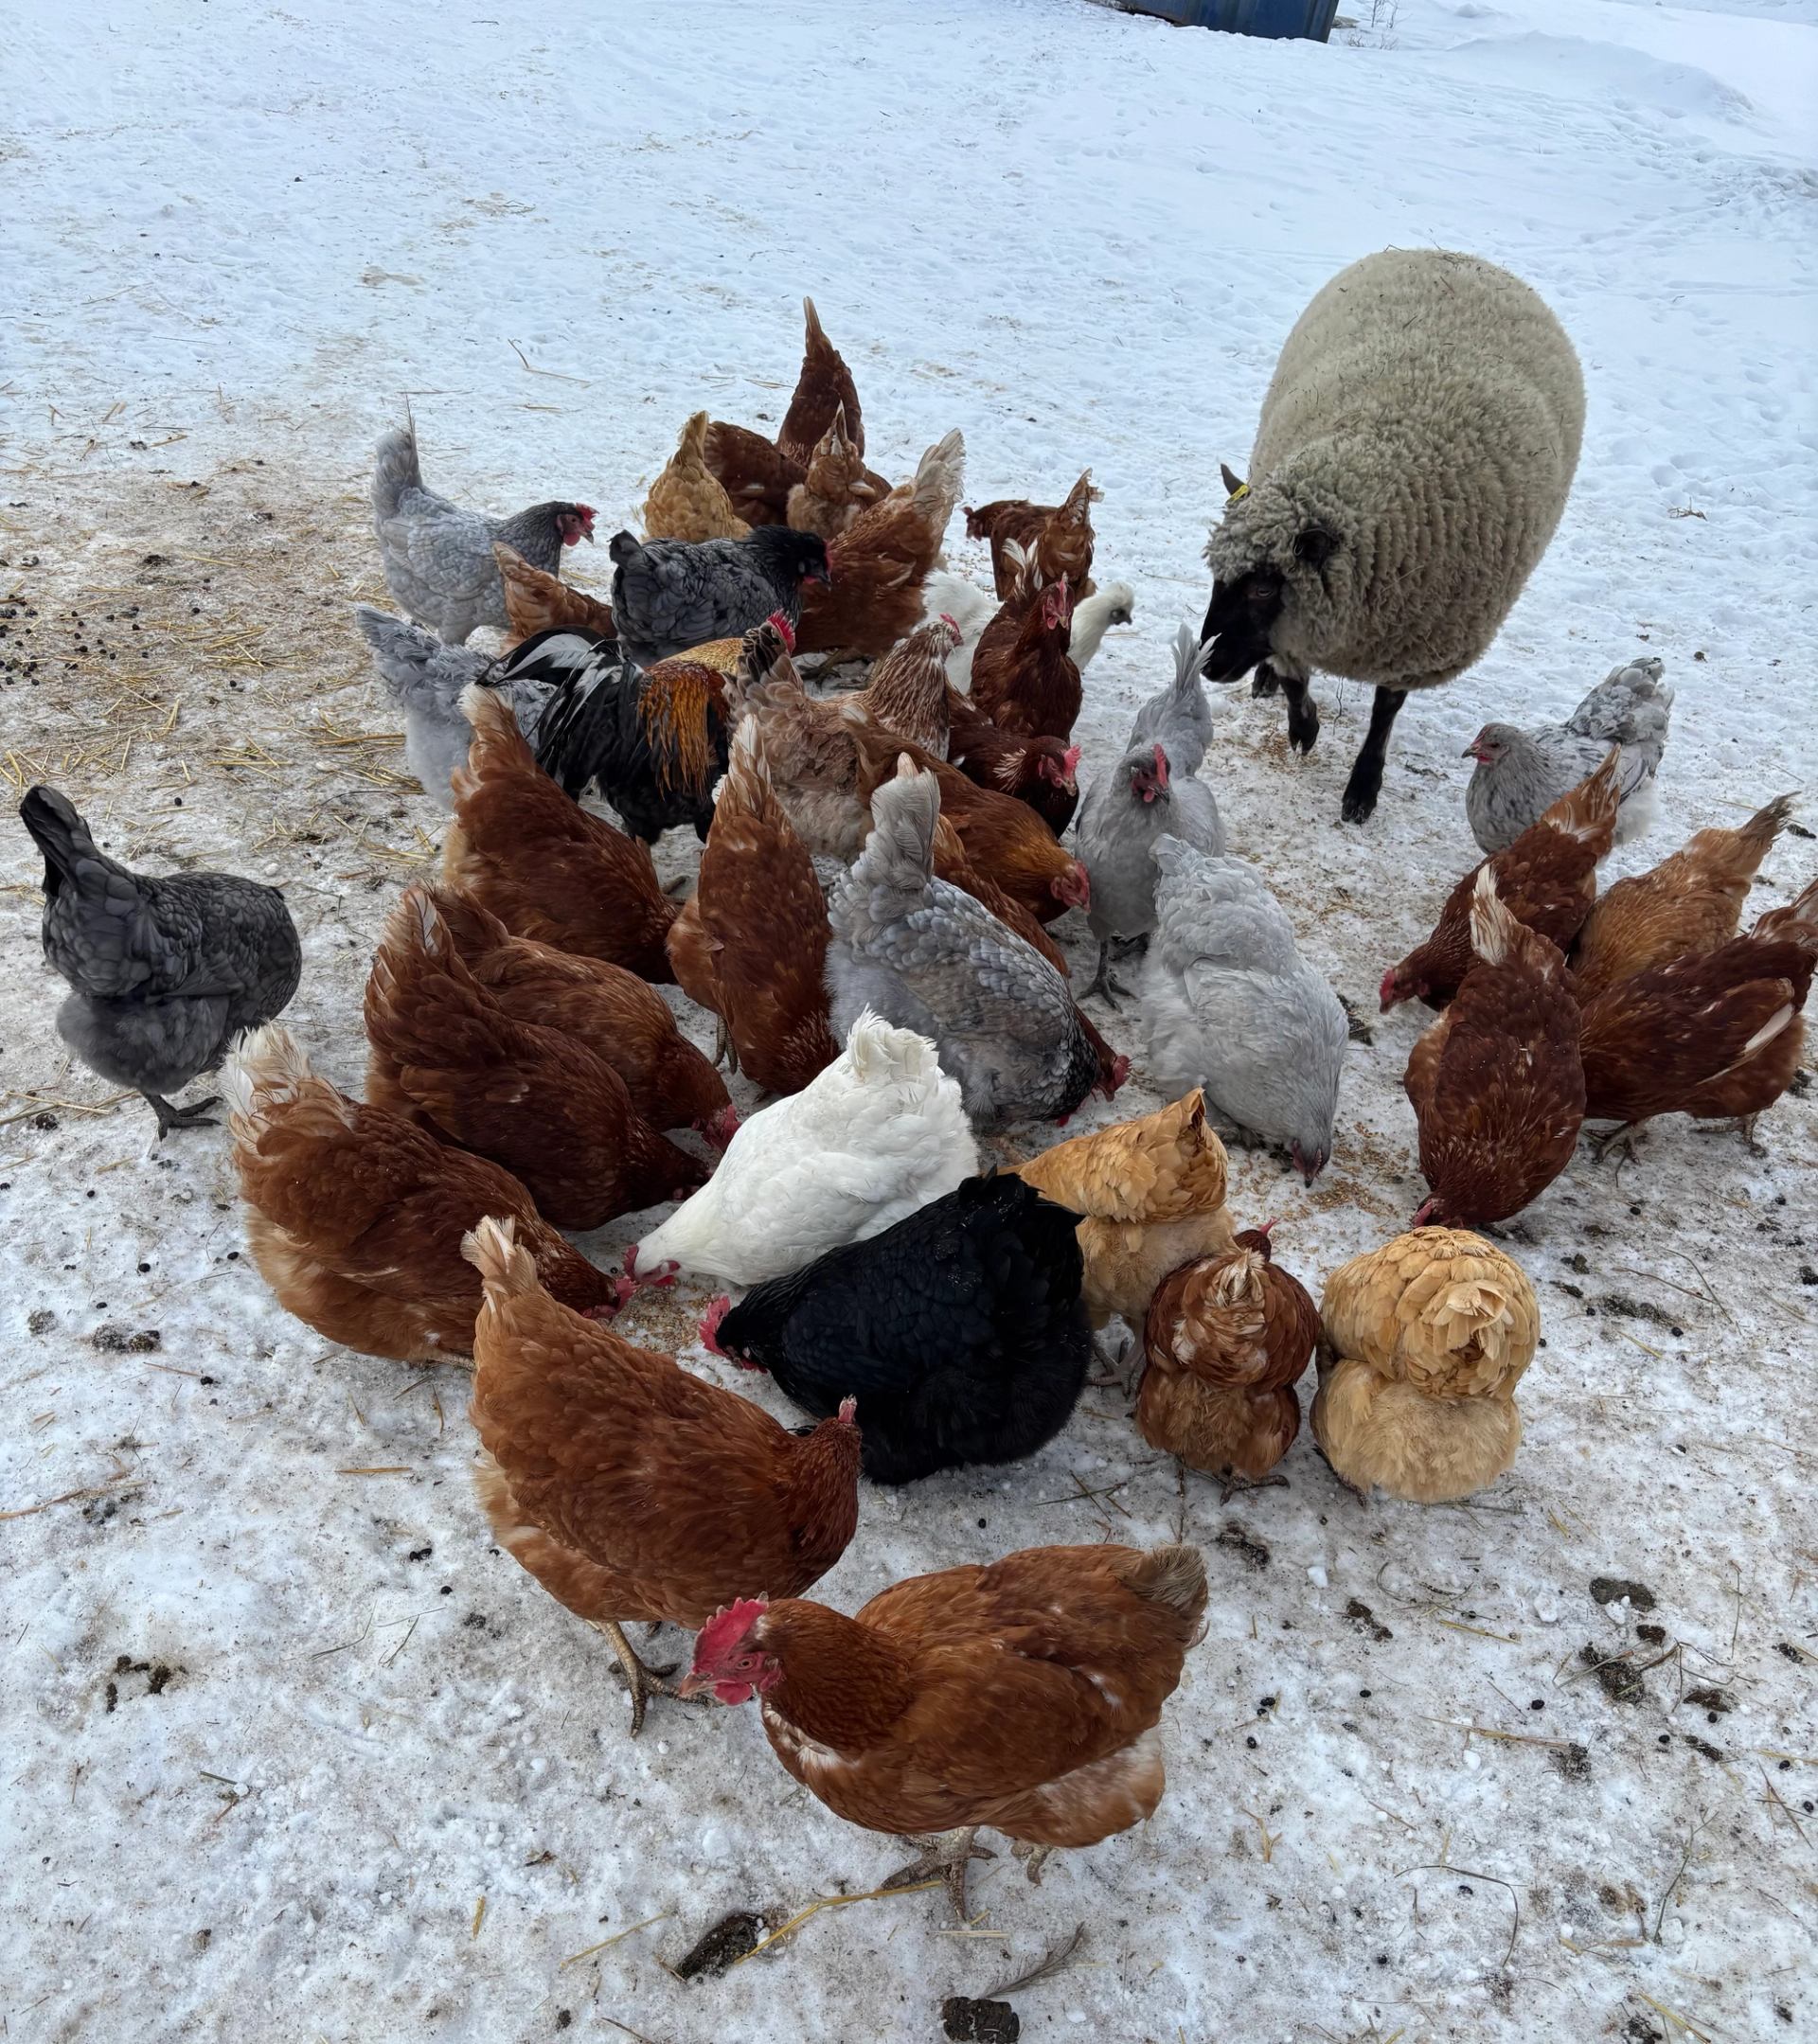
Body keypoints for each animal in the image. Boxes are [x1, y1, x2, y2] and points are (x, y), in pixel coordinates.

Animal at [1201, 248, 1585, 824]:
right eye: (1216, 578)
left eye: (1264, 588)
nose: (1207, 665)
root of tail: (1460, 256)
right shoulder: (1306, 617)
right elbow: (1294, 676)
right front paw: (1303, 726)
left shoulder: (1413, 638)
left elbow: (1385, 711)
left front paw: (1363, 788)